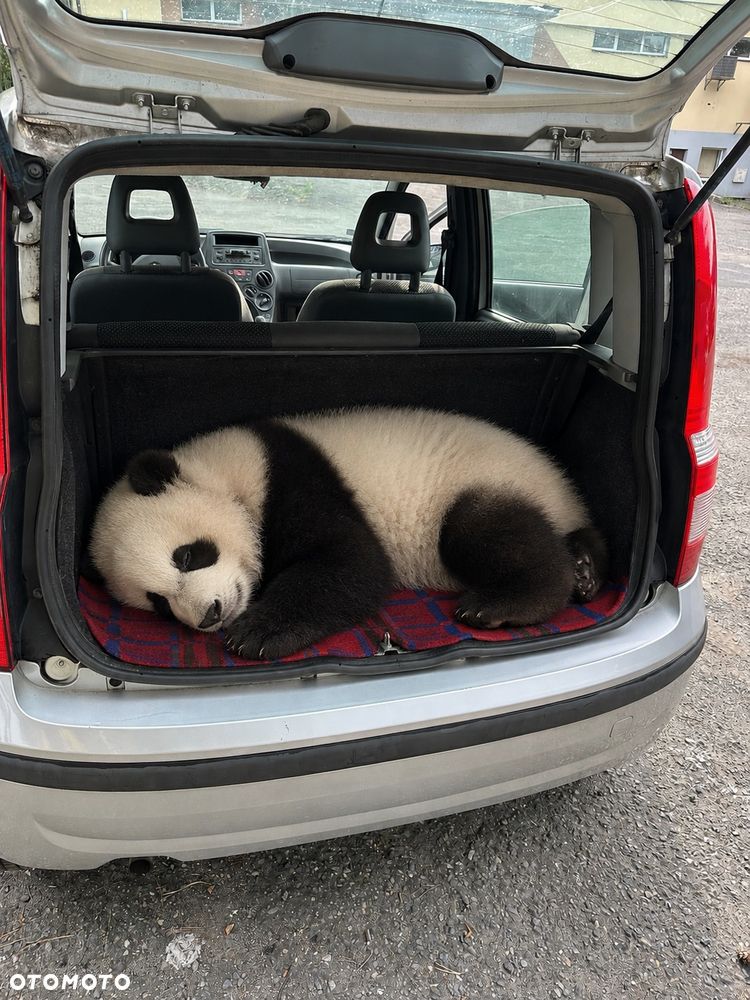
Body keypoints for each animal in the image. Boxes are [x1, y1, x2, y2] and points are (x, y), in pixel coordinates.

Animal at [89, 407, 608, 660]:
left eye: (188, 555)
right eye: (157, 602)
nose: (209, 616)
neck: (226, 472)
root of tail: (564, 490)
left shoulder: (294, 477)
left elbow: (353, 563)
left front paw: (255, 633)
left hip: (487, 480)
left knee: (481, 531)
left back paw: (504, 603)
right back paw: (585, 570)